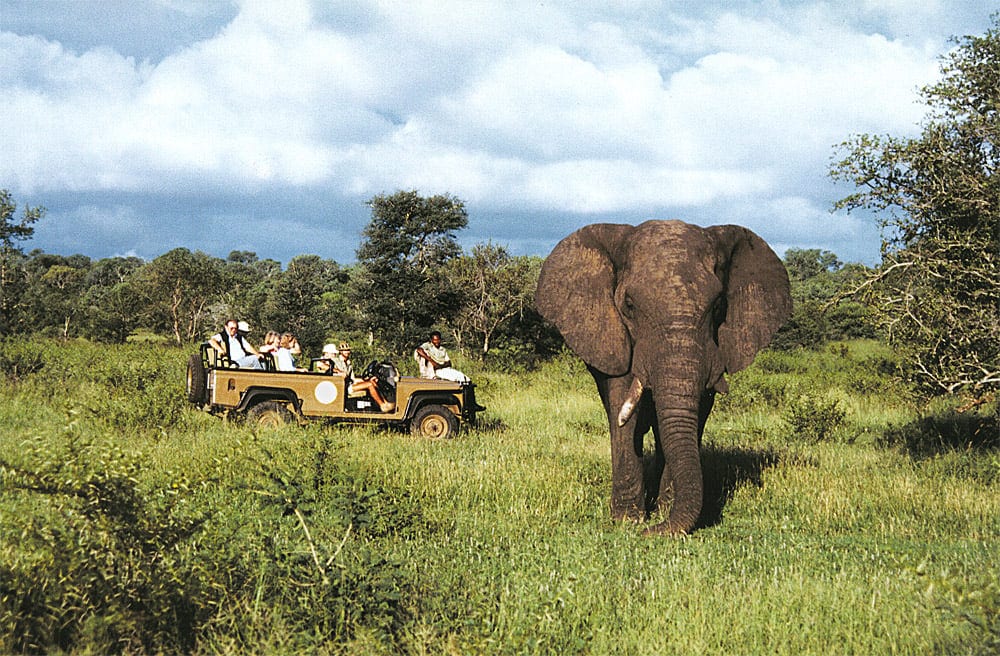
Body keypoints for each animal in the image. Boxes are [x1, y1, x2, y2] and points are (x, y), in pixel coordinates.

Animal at [535, 220, 791, 535]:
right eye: (629, 305)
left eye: (719, 305)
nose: (650, 532)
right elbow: (622, 404)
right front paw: (628, 520)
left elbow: (696, 412)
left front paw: (661, 512)